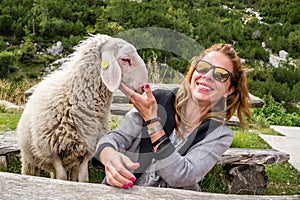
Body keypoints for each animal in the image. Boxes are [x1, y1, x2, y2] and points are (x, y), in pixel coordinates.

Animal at [16, 34, 148, 181]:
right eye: (126, 59)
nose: (143, 86)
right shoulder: (52, 151)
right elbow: (62, 178)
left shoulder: (87, 152)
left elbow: (83, 178)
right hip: (29, 158)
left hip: (73, 159)